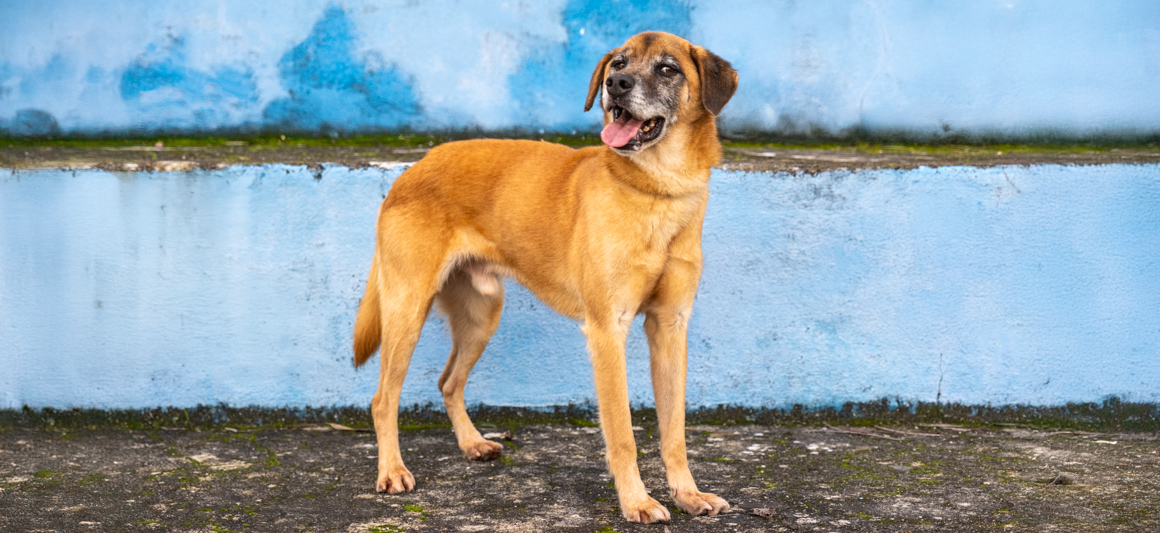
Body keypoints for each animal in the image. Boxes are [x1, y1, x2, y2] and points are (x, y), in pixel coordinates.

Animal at [352, 31, 737, 524]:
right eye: (619, 63)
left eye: (668, 69)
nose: (616, 85)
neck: (659, 189)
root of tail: (412, 169)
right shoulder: (607, 331)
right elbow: (623, 433)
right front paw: (636, 501)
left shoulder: (670, 327)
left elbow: (675, 431)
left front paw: (688, 494)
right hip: (406, 311)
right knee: (383, 398)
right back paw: (392, 471)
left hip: (482, 316)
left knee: (448, 382)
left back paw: (472, 443)